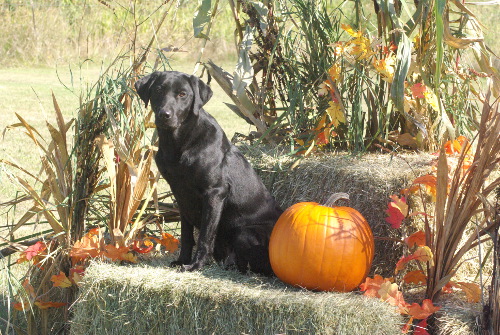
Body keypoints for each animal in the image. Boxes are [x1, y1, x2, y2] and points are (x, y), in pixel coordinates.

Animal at [134, 71, 282, 276]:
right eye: (158, 90)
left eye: (182, 94)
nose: (165, 115)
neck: (178, 144)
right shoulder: (181, 196)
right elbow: (187, 235)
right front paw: (182, 260)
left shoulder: (214, 192)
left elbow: (205, 236)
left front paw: (195, 265)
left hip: (245, 233)